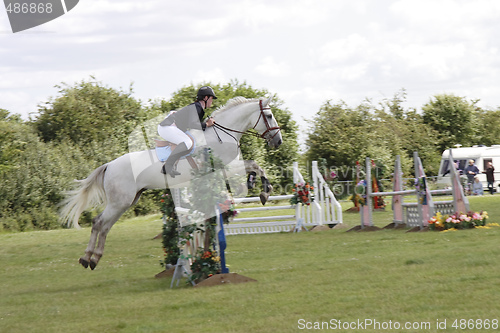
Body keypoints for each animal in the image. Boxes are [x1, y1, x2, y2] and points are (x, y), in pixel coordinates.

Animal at [59, 96, 282, 270]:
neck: (222, 134)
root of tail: (109, 165)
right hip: (119, 202)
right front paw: (265, 191)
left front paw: (259, 188)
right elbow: (254, 164)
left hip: (126, 202)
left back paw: (94, 258)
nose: (278, 141)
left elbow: (254, 167)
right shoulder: (225, 167)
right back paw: (86, 257)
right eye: (270, 116)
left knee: (105, 226)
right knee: (99, 223)